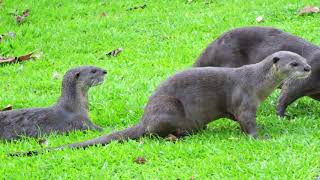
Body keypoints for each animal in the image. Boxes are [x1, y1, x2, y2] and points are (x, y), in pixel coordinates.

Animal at [11, 51, 312, 156]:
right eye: (294, 63)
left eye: (303, 59)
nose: (309, 68)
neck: (256, 83)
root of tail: (144, 116)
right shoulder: (244, 100)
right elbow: (248, 122)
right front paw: (262, 137)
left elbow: (238, 121)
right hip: (168, 108)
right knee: (153, 133)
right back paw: (180, 134)